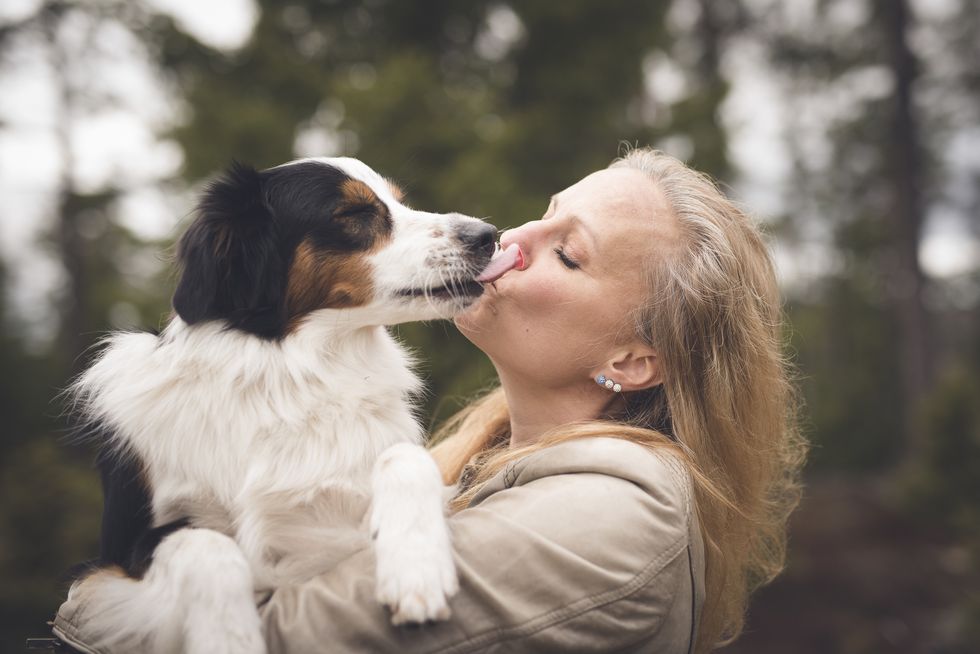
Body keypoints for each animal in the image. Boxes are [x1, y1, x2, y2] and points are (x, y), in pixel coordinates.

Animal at [56, 158, 498, 654]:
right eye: (355, 214)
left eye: (399, 201)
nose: (488, 234)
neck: (290, 377)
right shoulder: (120, 553)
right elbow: (208, 547)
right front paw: (228, 637)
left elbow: (404, 457)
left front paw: (416, 568)